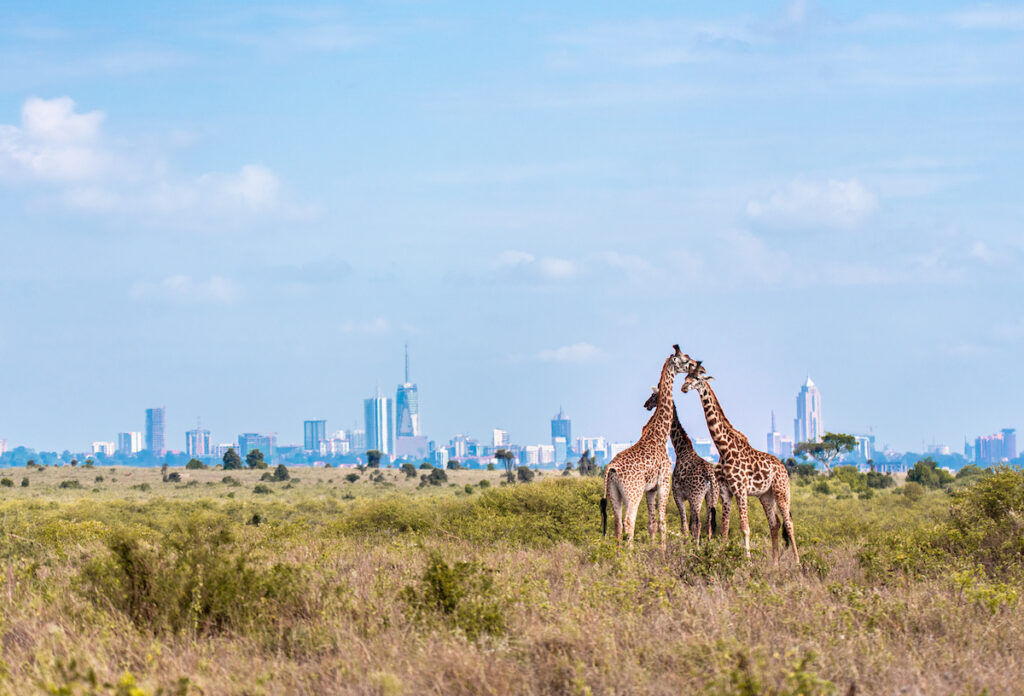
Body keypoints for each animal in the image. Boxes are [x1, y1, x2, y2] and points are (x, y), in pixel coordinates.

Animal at [600, 345, 692, 548]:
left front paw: (653, 550)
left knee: (618, 524)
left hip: (614, 493)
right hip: (633, 493)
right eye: (685, 360)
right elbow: (663, 522)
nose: (696, 365)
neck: (659, 434)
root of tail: (611, 469)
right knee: (629, 522)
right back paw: (630, 554)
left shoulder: (650, 489)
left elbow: (652, 524)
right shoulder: (664, 482)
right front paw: (663, 553)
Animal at [642, 388, 719, 544]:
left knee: (699, 523)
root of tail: (710, 475)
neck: (680, 450)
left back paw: (697, 546)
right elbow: (689, 524)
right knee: (709, 523)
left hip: (697, 496)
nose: (646, 404)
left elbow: (685, 525)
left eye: (653, 396)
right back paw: (708, 545)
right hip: (712, 496)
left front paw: (686, 545)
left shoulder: (678, 494)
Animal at [679, 364, 798, 563]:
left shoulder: (740, 489)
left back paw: (797, 562)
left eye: (696, 378)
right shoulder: (725, 491)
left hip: (782, 491)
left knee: (789, 523)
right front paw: (721, 557)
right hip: (766, 495)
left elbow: (745, 527)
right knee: (774, 523)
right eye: (685, 376)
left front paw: (747, 561)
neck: (723, 449)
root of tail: (783, 467)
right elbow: (725, 529)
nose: (684, 387)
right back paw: (774, 563)